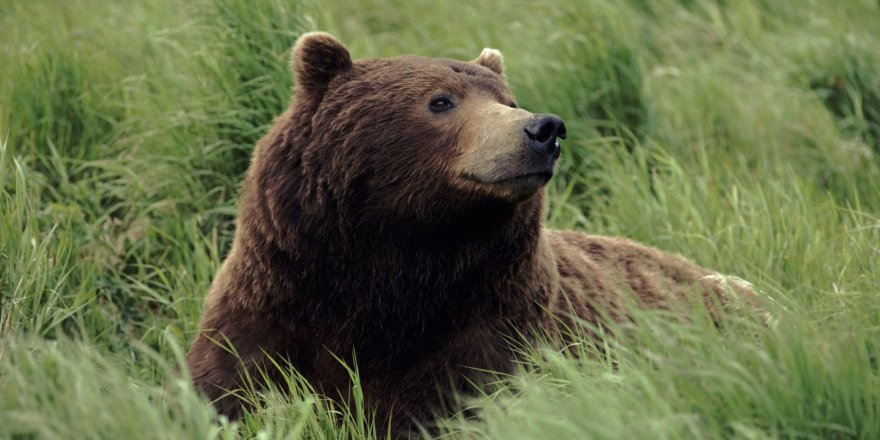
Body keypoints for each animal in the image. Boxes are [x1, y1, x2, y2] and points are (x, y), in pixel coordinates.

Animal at [186, 32, 748, 434]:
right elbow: (232, 385)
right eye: (441, 101)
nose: (544, 129)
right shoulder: (278, 298)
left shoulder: (489, 320)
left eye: (509, 99)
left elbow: (462, 398)